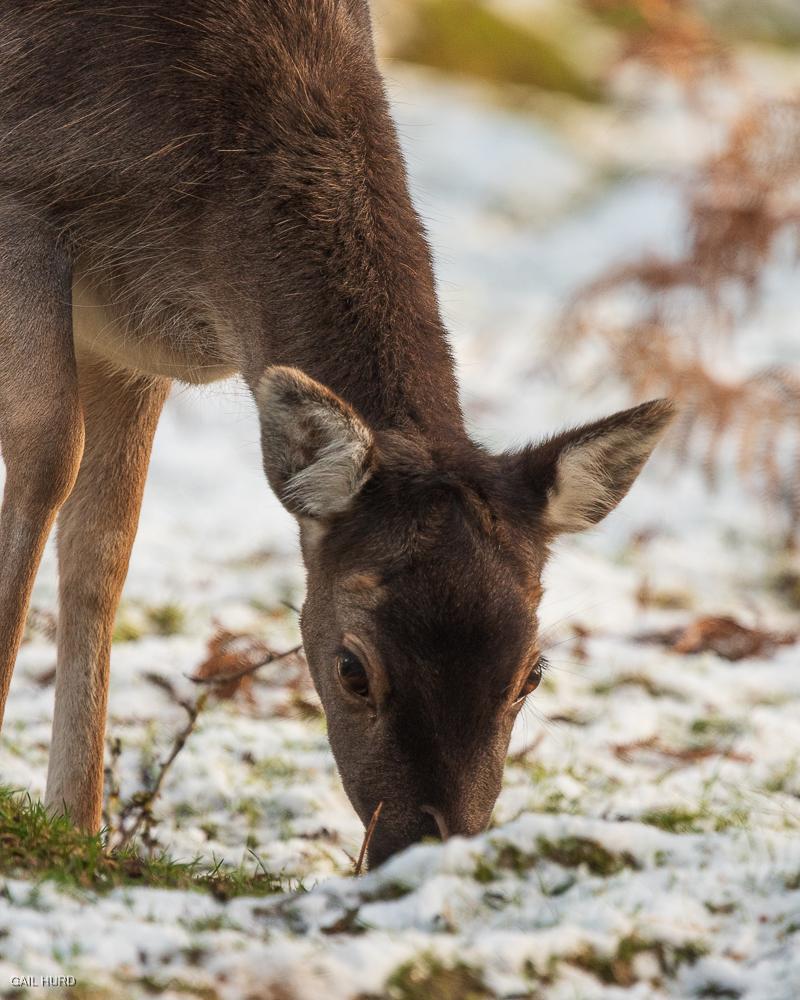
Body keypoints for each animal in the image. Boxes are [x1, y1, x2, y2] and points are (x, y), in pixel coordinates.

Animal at [0, 0, 673, 868]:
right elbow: (47, 456)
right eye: (353, 669)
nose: (424, 851)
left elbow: (103, 546)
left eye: (531, 674)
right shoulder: (21, 204)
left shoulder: (127, 337)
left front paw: (77, 827)